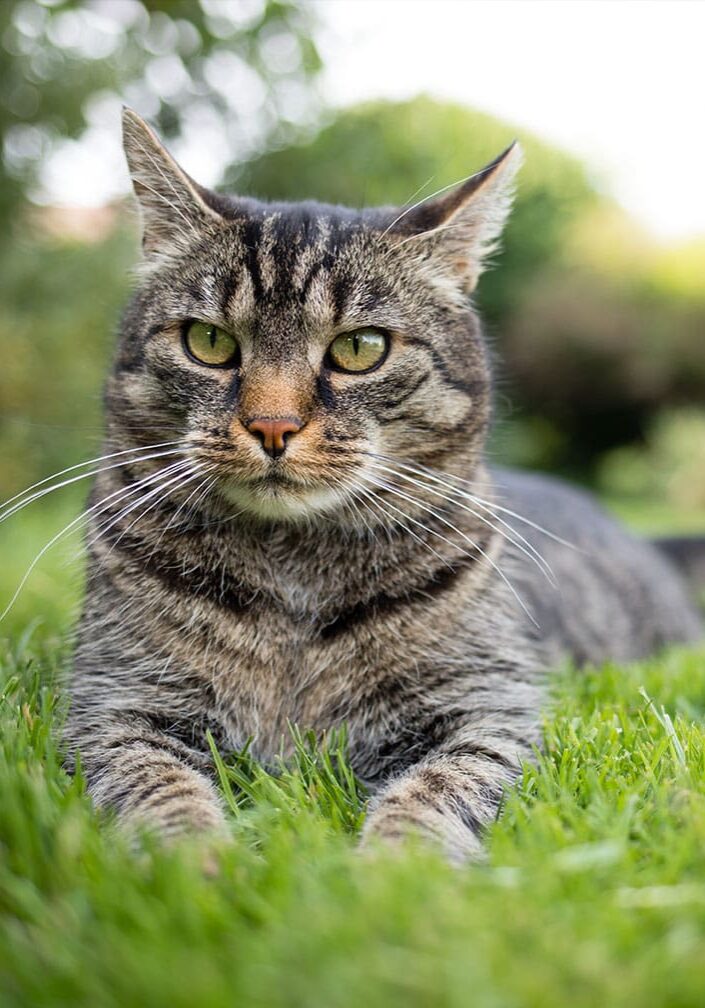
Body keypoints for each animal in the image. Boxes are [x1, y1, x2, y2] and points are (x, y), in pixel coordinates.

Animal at [63, 112, 701, 866]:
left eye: (360, 348)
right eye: (209, 342)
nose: (271, 425)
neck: (293, 580)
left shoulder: (487, 706)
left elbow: (437, 787)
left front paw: (396, 870)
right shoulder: (113, 702)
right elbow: (158, 785)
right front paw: (196, 863)